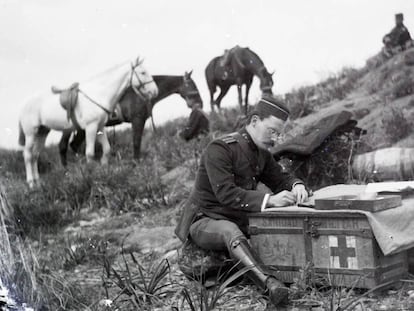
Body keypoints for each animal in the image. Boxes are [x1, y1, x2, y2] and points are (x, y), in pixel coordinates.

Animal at [17, 56, 158, 188]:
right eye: (143, 72)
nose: (155, 91)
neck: (99, 94)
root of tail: (24, 105)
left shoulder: (100, 127)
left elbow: (107, 149)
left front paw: (104, 171)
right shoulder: (91, 127)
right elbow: (89, 153)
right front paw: (91, 176)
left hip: (42, 132)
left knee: (35, 155)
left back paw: (38, 183)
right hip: (31, 134)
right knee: (28, 155)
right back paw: (31, 183)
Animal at [59, 71, 202, 166]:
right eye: (193, 86)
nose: (200, 104)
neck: (142, 93)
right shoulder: (137, 120)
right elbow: (136, 141)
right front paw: (136, 162)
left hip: (83, 129)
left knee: (73, 145)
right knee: (64, 146)